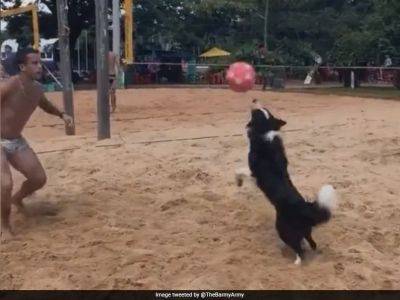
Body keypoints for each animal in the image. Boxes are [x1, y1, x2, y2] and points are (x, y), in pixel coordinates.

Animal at [236, 100, 336, 264]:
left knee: (299, 250)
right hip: (306, 230)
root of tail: (305, 208)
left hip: (282, 228)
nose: (255, 99)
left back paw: (295, 262)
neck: (265, 131)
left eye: (257, 112)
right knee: (312, 243)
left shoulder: (254, 173)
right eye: (263, 109)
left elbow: (239, 170)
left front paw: (238, 181)